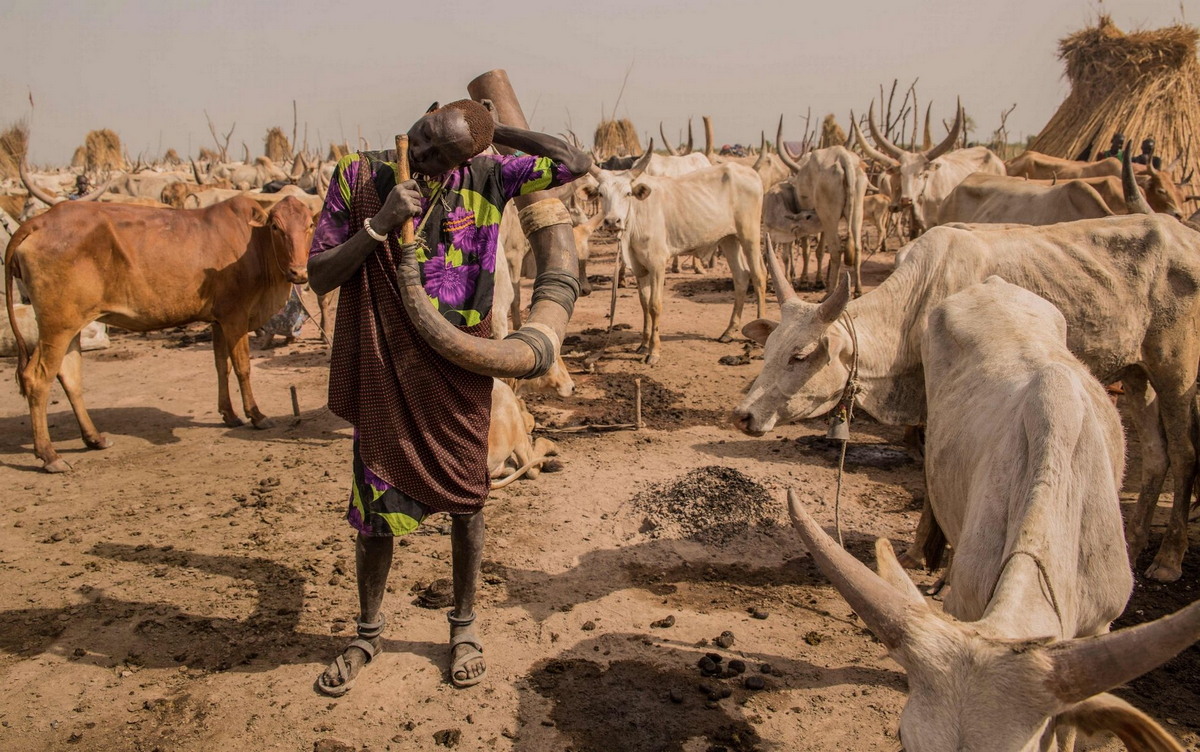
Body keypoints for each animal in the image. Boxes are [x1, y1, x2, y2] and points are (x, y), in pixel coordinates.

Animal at [3, 196, 314, 472]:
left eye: (310, 225)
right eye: (276, 227)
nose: (299, 272)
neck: (254, 245)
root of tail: (37, 222)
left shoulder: (218, 320)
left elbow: (220, 367)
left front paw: (229, 414)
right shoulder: (234, 316)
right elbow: (242, 368)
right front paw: (256, 415)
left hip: (72, 327)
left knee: (70, 377)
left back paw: (94, 438)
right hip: (57, 325)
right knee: (36, 379)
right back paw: (49, 455)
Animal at [585, 141, 763, 367]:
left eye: (628, 193)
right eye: (601, 194)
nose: (612, 221)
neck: (636, 216)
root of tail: (750, 172)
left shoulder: (657, 264)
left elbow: (654, 305)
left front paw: (654, 351)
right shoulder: (639, 268)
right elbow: (644, 303)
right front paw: (643, 344)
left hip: (749, 234)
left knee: (759, 276)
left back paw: (759, 332)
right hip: (729, 239)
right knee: (741, 277)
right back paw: (729, 331)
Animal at [729, 195, 1200, 582]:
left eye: (801, 354)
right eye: (769, 348)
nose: (744, 415)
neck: (916, 303)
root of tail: (1186, 234)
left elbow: (930, 473)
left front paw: (925, 553)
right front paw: (925, 551)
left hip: (1176, 371)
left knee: (1183, 455)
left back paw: (1168, 559)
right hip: (1138, 374)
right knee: (1155, 454)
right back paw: (1134, 544)